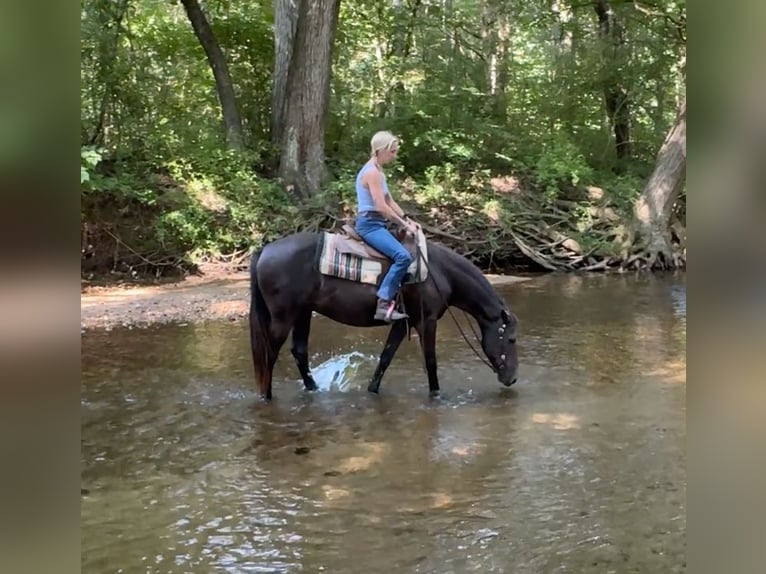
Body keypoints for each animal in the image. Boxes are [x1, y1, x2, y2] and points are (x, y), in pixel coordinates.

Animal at [248, 230, 519, 400]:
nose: (513, 379)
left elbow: (386, 357)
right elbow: (430, 361)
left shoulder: (403, 323)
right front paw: (436, 395)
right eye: (512, 339)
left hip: (303, 313)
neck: (439, 273)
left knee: (299, 352)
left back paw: (314, 390)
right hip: (283, 317)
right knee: (269, 354)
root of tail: (264, 251)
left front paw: (373, 389)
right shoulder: (427, 321)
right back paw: (266, 396)